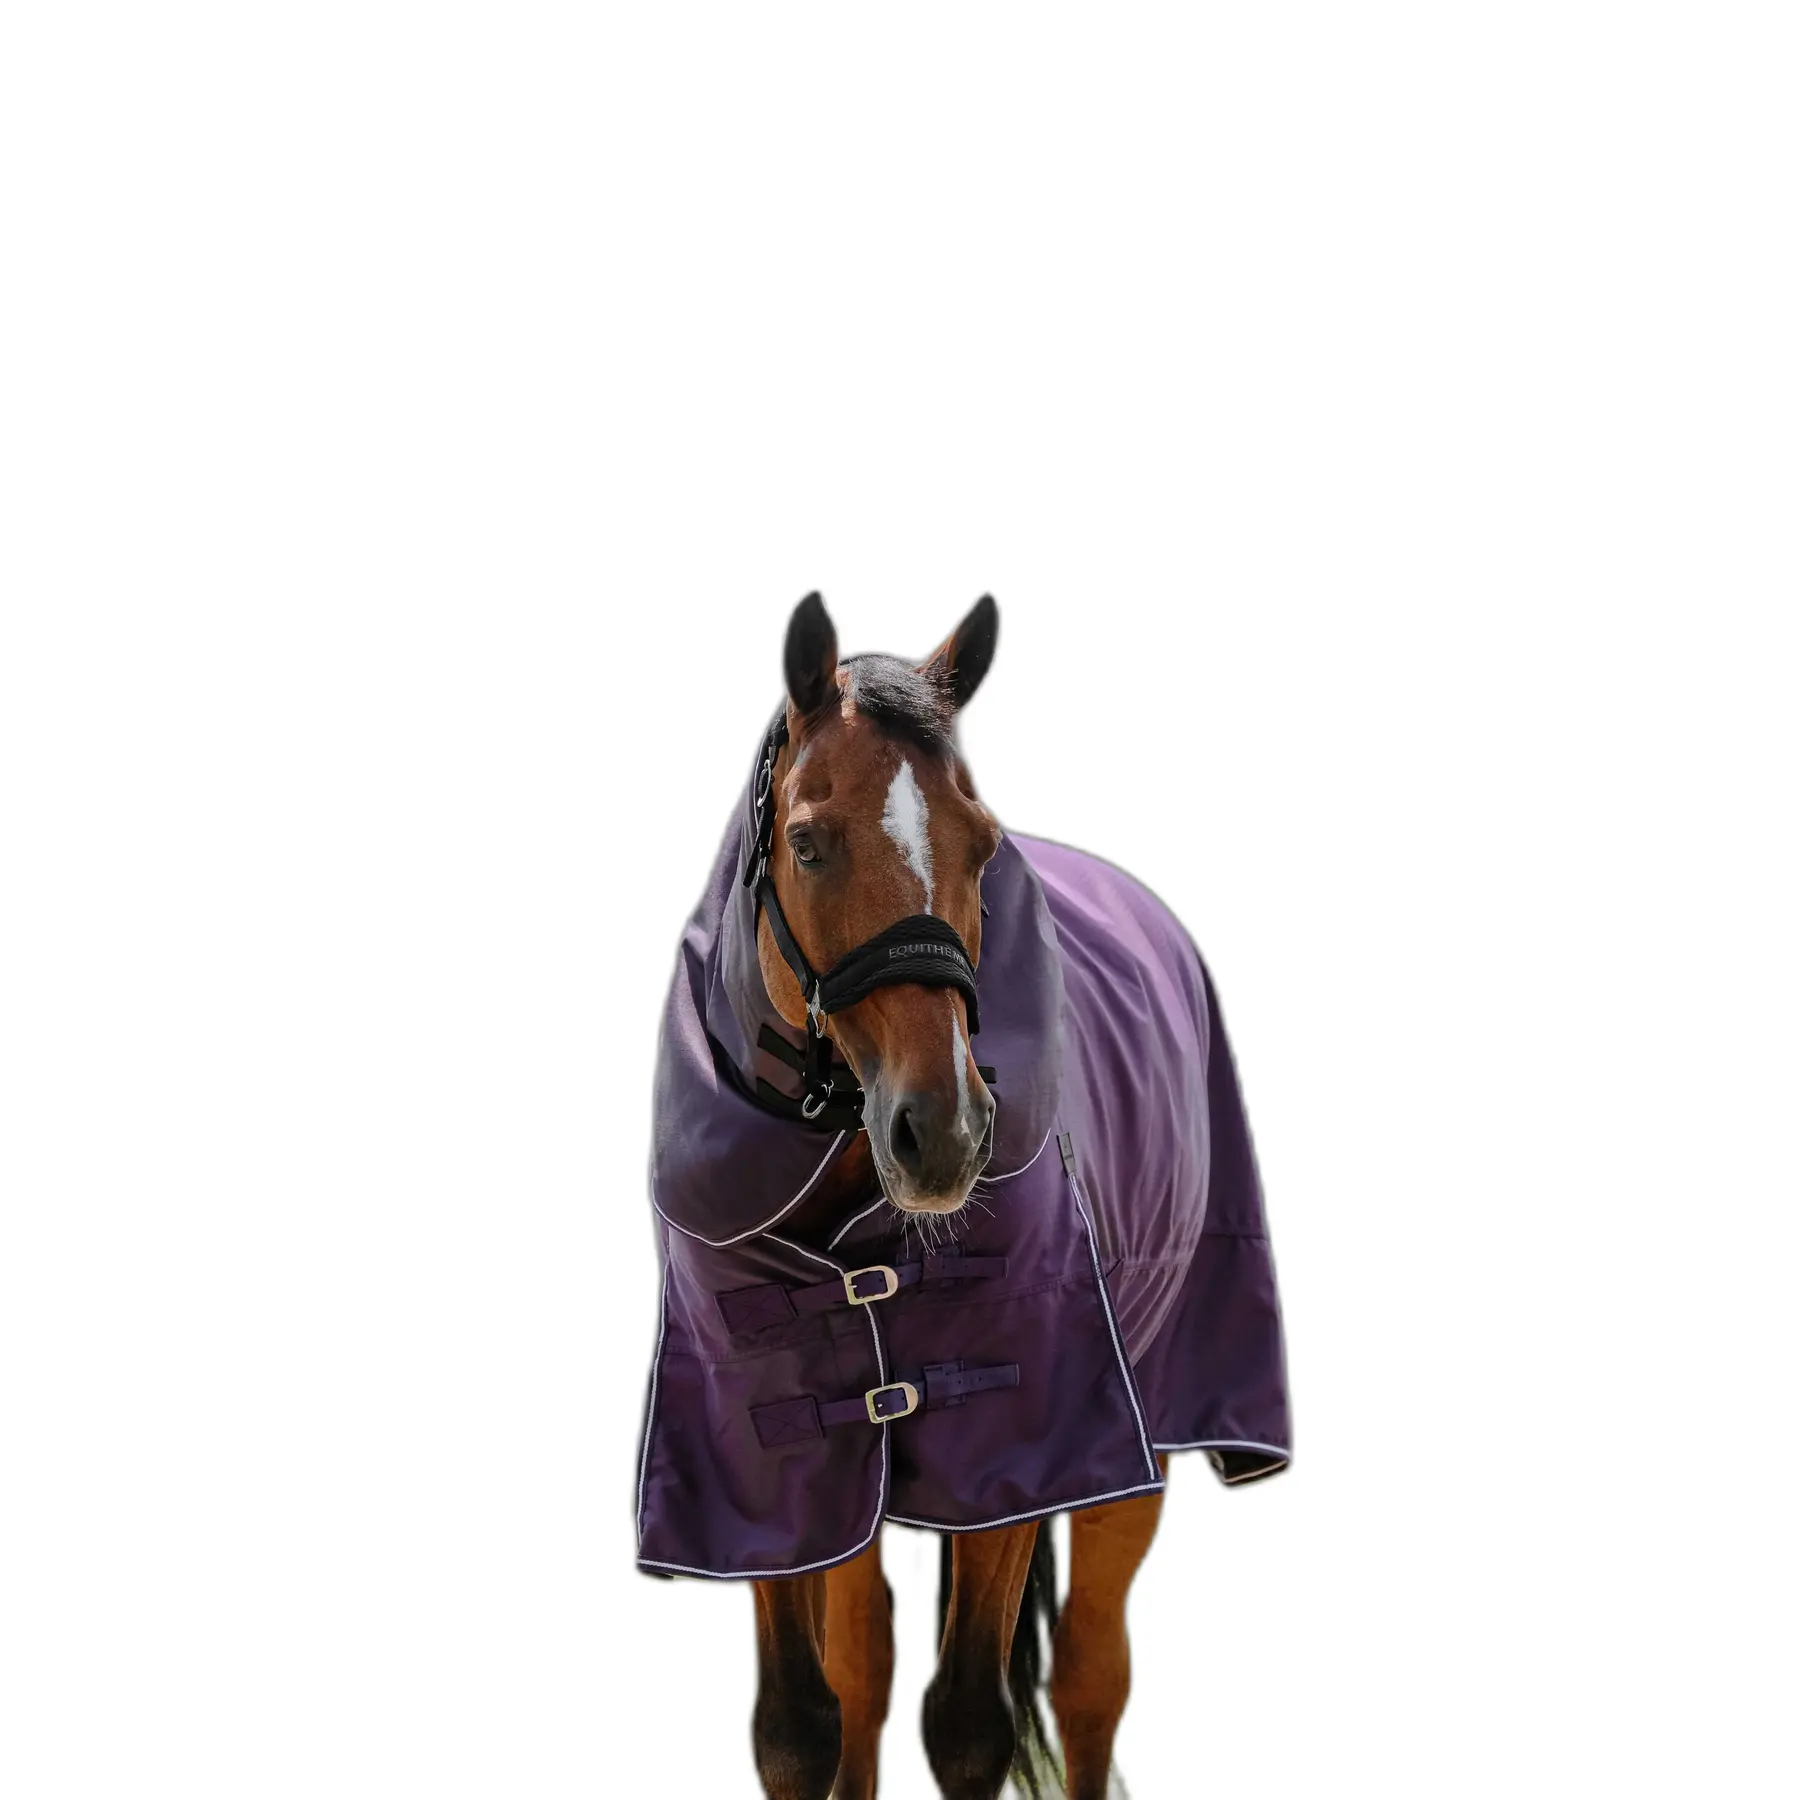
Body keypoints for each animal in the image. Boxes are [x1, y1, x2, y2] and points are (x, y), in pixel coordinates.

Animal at [637, 593, 1291, 1798]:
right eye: (809, 840)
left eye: (982, 846)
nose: (943, 1133)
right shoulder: (775, 1468)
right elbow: (804, 1724)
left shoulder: (1021, 1448)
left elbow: (972, 1725)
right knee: (871, 1667)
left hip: (1141, 1441)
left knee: (1089, 1680)